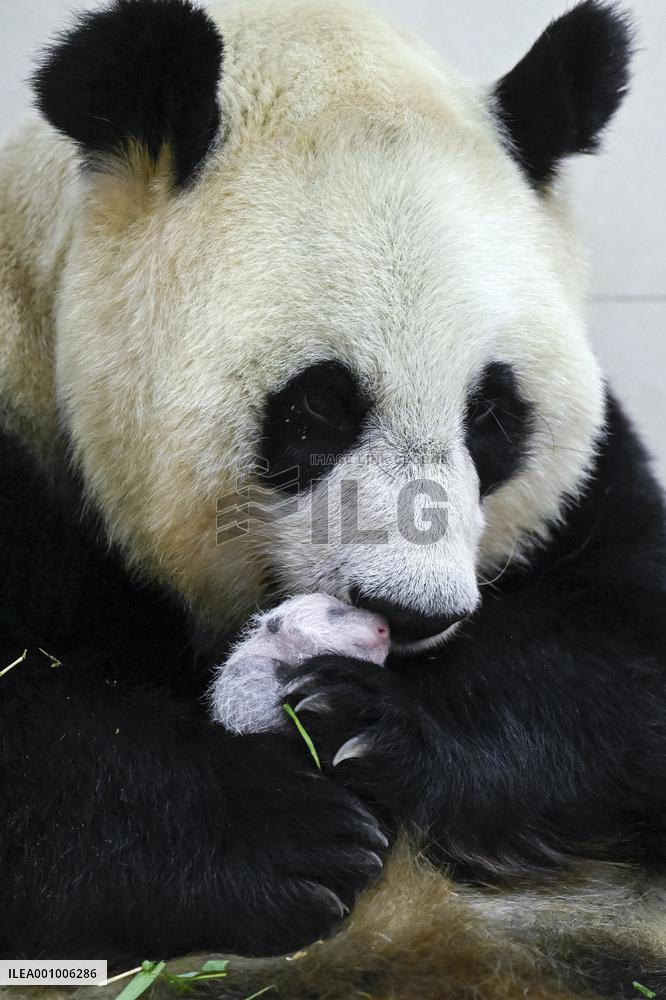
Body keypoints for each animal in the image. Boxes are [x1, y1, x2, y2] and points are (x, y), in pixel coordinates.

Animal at [1, 0, 665, 997]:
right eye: (319, 406)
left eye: (491, 415)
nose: (413, 612)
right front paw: (283, 836)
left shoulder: (591, 487)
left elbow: (627, 645)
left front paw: (362, 723)